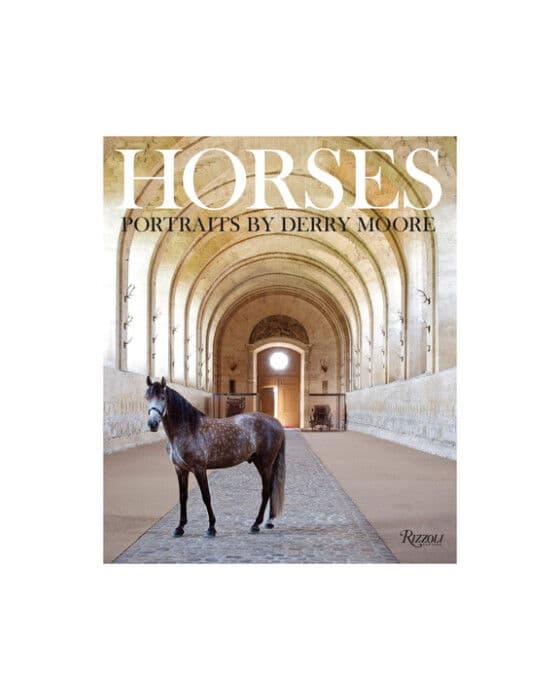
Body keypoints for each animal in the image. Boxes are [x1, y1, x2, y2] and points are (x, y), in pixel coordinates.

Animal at [145, 376, 286, 537]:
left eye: (163, 397)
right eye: (147, 397)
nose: (152, 424)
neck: (188, 429)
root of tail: (276, 423)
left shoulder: (199, 469)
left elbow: (206, 496)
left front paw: (211, 528)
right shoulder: (180, 469)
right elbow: (183, 496)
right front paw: (180, 527)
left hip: (265, 464)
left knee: (266, 490)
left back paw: (256, 524)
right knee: (271, 489)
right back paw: (269, 521)